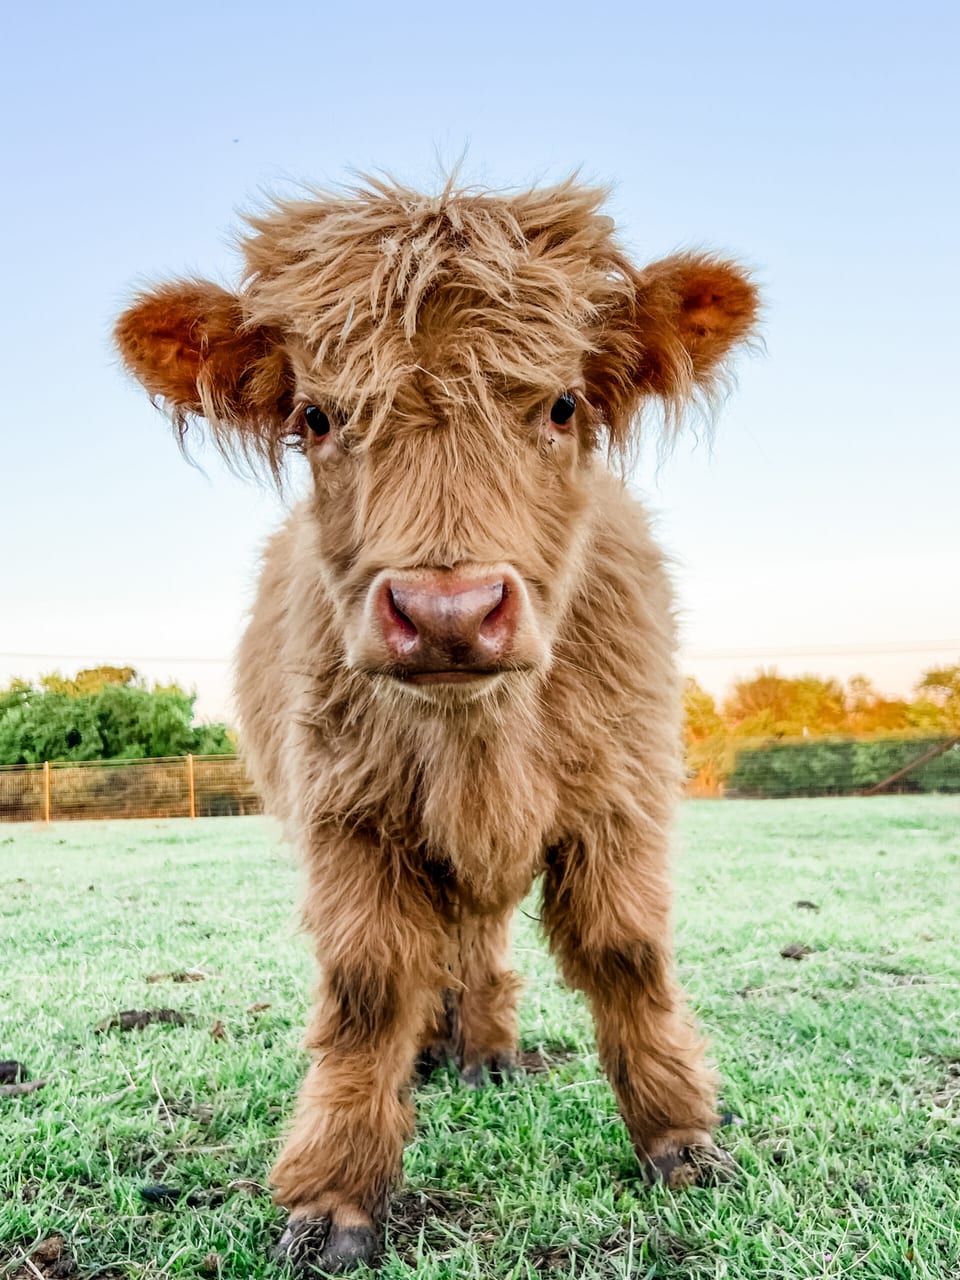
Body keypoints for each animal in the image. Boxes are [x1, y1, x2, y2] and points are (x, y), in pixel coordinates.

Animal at [116, 175, 758, 1273]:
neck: (480, 743)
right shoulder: (349, 820)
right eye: (318, 415)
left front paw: (681, 1140)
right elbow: (370, 987)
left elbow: (626, 953)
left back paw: (490, 1052)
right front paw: (336, 1195)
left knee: (484, 938)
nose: (448, 612)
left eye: (562, 403)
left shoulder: (621, 801)